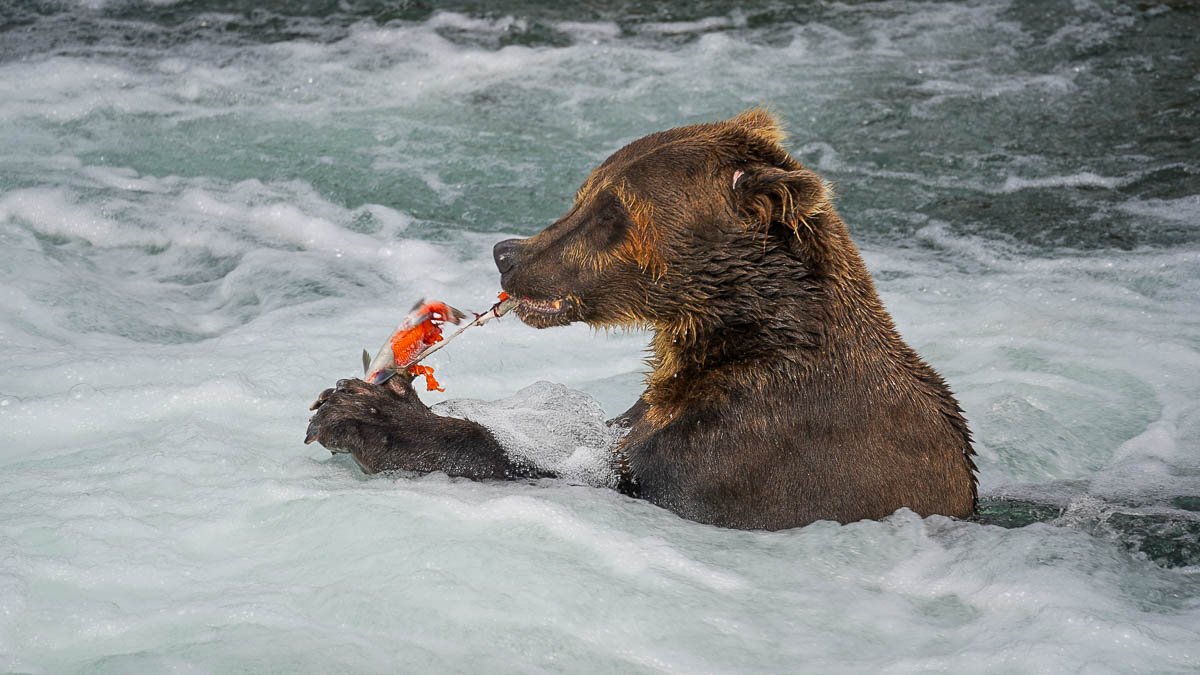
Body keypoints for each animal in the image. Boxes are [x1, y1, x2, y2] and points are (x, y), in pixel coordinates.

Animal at [307, 107, 974, 528]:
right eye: (586, 191)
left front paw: (366, 413)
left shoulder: (762, 443)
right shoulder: (657, 412)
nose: (508, 253)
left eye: (613, 212)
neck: (739, 334)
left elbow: (590, 483)